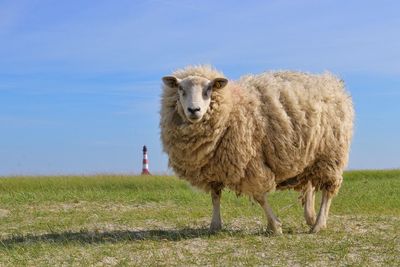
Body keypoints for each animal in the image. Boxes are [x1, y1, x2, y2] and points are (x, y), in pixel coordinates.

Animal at [159, 66, 354, 236]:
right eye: (180, 89)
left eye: (209, 89)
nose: (194, 110)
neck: (231, 106)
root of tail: (332, 82)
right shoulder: (213, 168)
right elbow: (215, 196)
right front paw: (215, 226)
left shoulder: (251, 164)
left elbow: (260, 196)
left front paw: (275, 226)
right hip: (310, 156)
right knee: (310, 185)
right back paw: (310, 216)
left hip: (330, 153)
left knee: (328, 189)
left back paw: (318, 224)